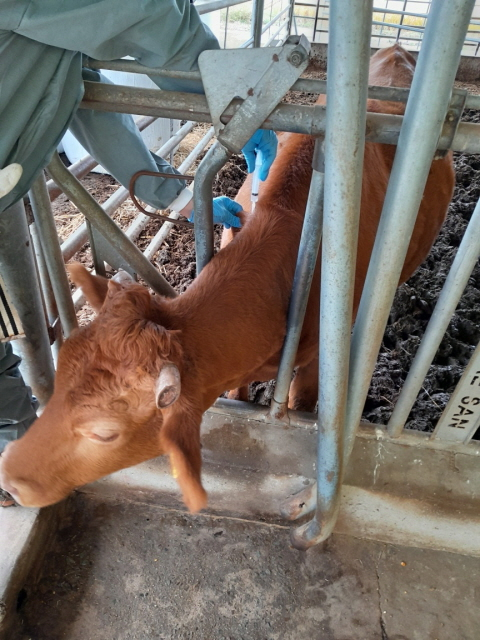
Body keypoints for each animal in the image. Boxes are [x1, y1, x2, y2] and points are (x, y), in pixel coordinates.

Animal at [0, 45, 455, 513]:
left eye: (105, 433)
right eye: (61, 374)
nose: (9, 478)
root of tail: (397, 49)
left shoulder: (315, 360)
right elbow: (238, 397)